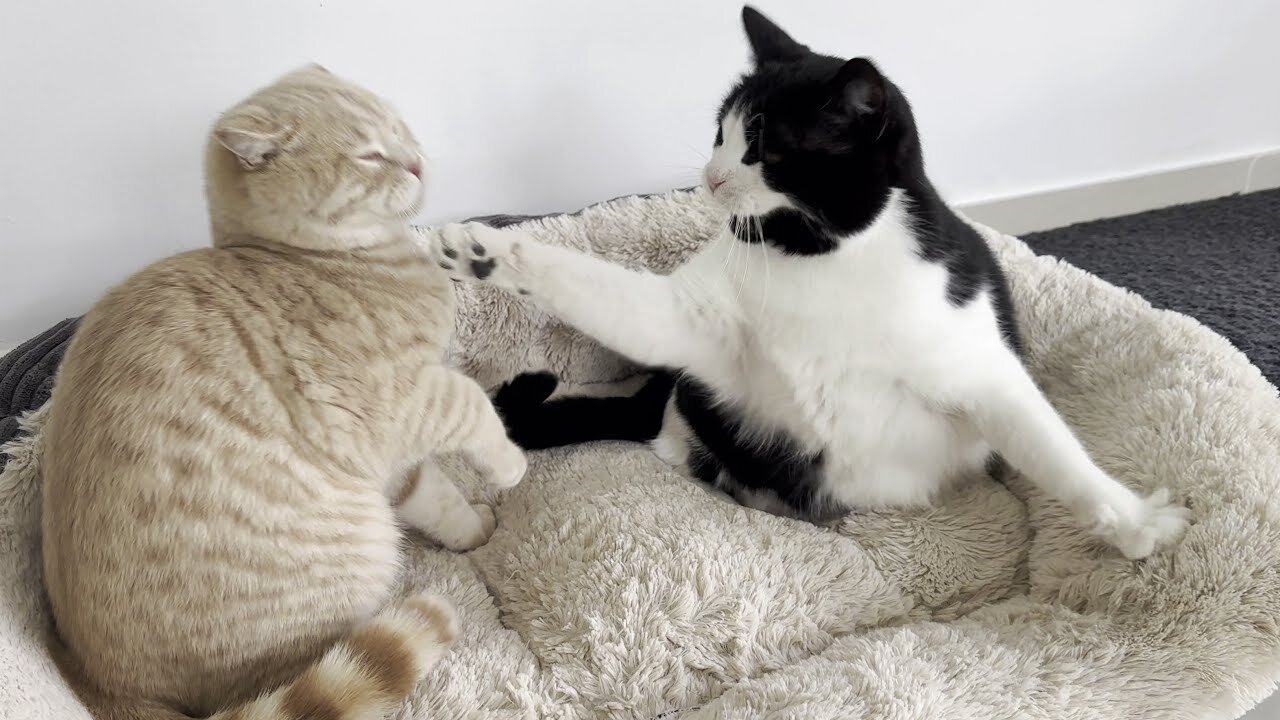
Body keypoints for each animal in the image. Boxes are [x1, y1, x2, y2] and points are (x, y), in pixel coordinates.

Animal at [45, 63, 524, 717]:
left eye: (399, 129)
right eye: (371, 154)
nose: (416, 162)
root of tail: (101, 686)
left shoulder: (390, 459)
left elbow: (437, 496)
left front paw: (474, 530)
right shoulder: (408, 401)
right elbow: (475, 407)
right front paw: (509, 466)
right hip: (354, 556)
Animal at [427, 5, 1187, 558]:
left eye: (763, 148)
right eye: (721, 133)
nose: (710, 177)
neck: (819, 257)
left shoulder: (976, 365)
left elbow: (1052, 449)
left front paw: (1136, 525)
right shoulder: (697, 324)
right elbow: (586, 282)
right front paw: (484, 250)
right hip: (698, 408)